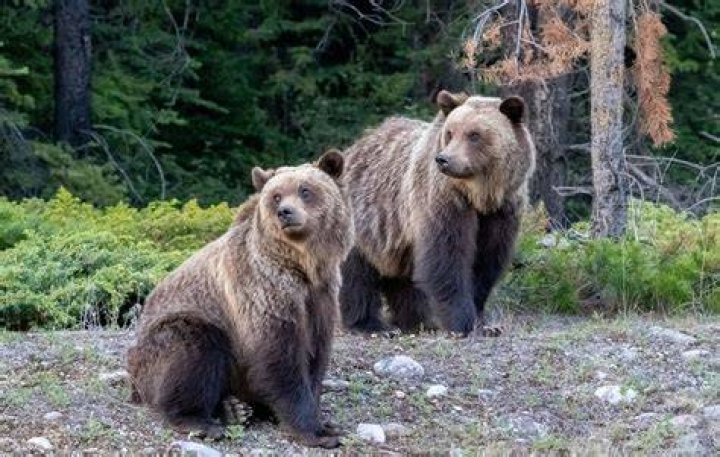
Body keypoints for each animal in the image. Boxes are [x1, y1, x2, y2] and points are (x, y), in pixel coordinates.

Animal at [126, 150, 352, 448]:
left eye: (305, 190)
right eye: (276, 196)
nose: (285, 212)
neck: (303, 265)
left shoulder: (321, 297)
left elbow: (315, 356)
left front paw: (325, 421)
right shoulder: (265, 290)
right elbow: (280, 358)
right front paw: (316, 431)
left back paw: (234, 409)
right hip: (168, 338)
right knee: (193, 348)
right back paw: (202, 421)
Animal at [339, 91, 535, 336]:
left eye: (474, 135)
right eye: (450, 133)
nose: (444, 160)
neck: (481, 196)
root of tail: (352, 149)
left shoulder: (502, 211)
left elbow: (486, 262)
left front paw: (484, 322)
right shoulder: (443, 201)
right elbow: (447, 257)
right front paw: (462, 322)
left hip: (395, 236)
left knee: (402, 277)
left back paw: (418, 321)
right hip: (366, 218)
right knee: (357, 274)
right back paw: (370, 324)